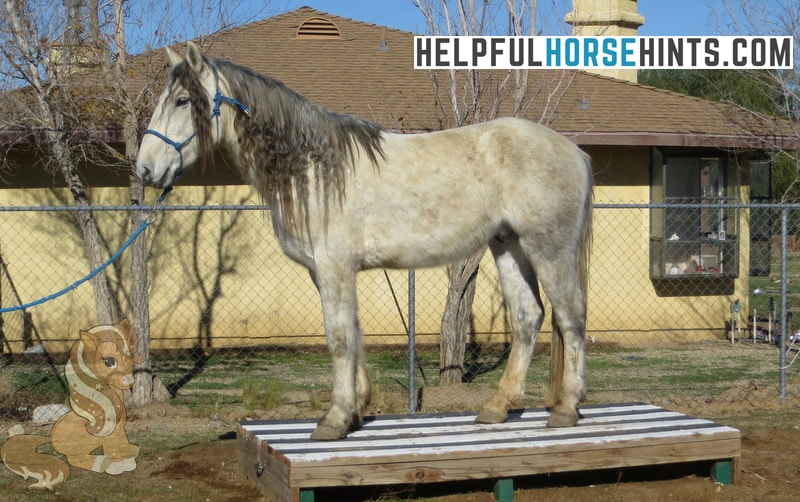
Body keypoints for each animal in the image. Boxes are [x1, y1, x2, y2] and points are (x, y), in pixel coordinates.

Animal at [136, 43, 592, 440]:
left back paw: (567, 408)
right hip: (508, 246)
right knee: (528, 317)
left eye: (182, 101)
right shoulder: (328, 272)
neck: (314, 167)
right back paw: (497, 407)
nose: (144, 169)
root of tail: (574, 151)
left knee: (570, 316)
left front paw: (335, 419)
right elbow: (352, 333)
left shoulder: (334, 266)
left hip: (548, 247)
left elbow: (338, 337)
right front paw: (355, 409)